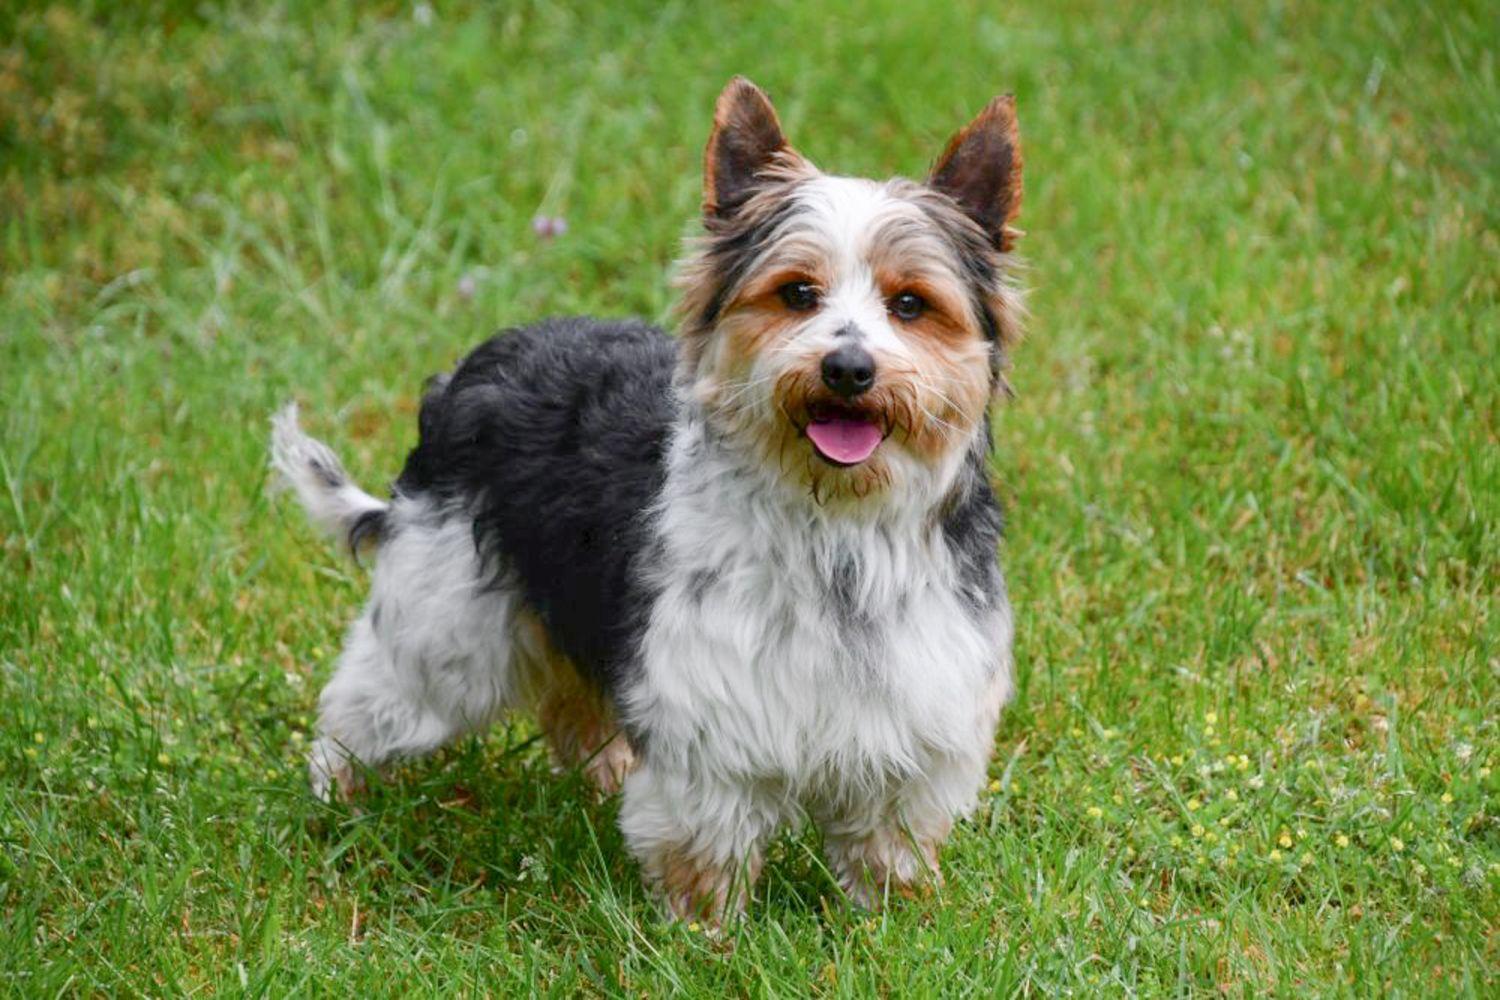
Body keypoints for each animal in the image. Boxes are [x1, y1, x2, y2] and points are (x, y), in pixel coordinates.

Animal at [273, 78, 1020, 923]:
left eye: (911, 304)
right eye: (797, 294)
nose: (849, 369)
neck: (836, 519)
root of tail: (469, 371)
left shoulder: (915, 716)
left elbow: (887, 841)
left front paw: (891, 920)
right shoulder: (710, 719)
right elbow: (707, 843)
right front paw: (704, 932)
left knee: (573, 704)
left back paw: (600, 780)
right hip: (445, 624)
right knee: (368, 699)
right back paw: (336, 795)